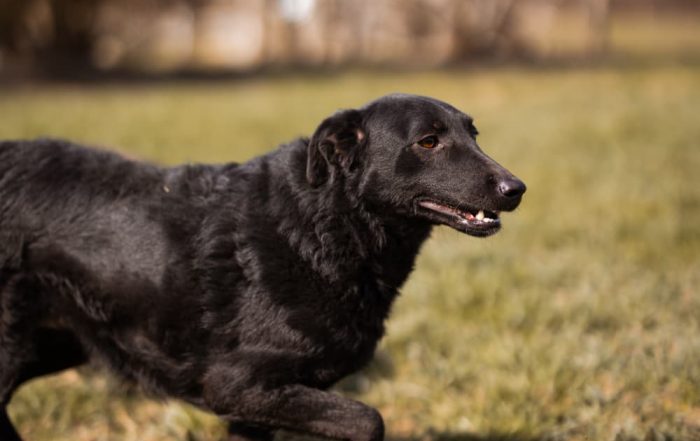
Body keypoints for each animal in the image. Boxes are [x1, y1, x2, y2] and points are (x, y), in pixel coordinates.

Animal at [0, 94, 525, 441]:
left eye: (473, 135)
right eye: (428, 141)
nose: (516, 188)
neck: (318, 228)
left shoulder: (253, 411)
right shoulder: (235, 386)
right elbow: (368, 419)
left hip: (54, 343)